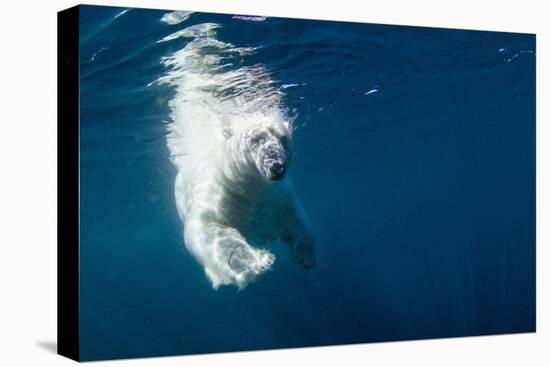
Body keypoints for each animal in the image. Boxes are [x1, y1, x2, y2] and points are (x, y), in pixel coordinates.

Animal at [157, 22, 316, 290]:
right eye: (256, 139)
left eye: (283, 138)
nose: (276, 167)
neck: (248, 188)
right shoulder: (216, 197)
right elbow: (208, 230)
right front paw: (255, 262)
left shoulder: (278, 198)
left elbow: (296, 219)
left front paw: (305, 256)